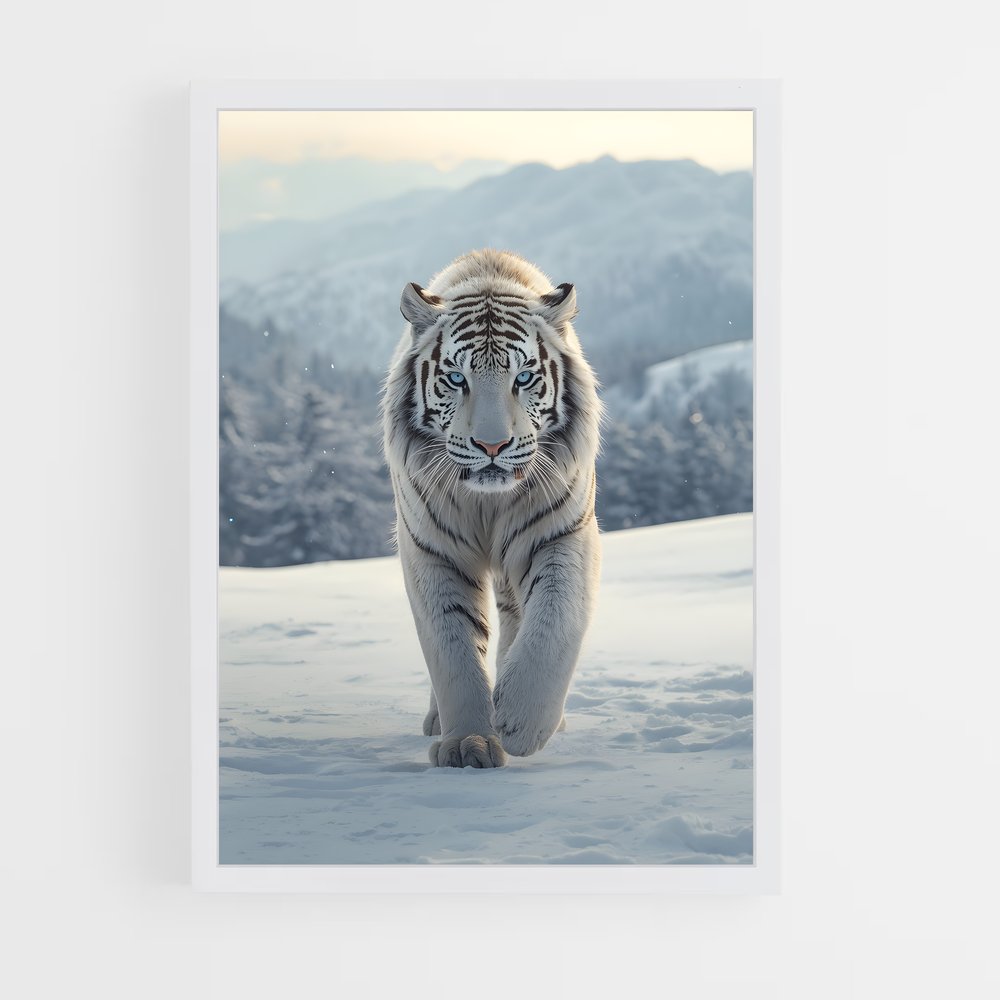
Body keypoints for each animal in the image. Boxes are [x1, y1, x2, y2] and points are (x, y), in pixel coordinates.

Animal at [382, 248, 602, 768]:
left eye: (523, 377)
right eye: (455, 378)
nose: (492, 445)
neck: (489, 504)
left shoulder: (563, 535)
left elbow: (554, 622)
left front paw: (520, 724)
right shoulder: (432, 551)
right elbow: (452, 649)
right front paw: (468, 743)